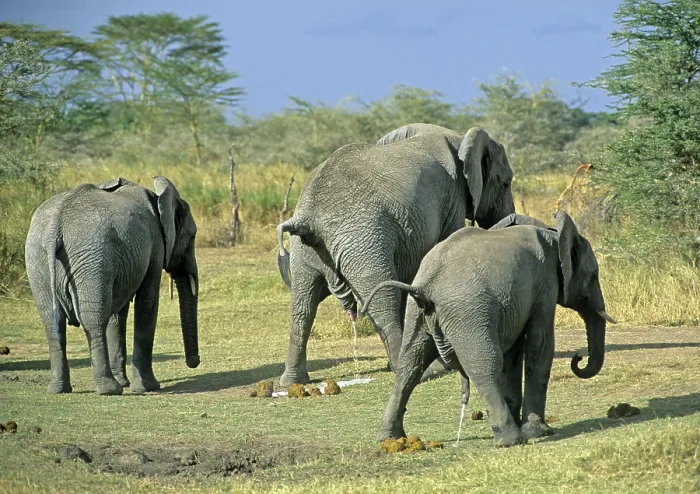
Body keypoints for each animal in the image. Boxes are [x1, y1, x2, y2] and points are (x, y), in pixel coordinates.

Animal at [25, 176, 200, 395]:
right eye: (192, 236)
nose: (194, 362)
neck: (157, 198)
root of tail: (53, 229)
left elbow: (118, 313)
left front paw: (126, 383)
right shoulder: (156, 246)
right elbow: (147, 302)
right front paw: (147, 387)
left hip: (37, 259)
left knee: (51, 321)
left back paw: (59, 389)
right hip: (91, 259)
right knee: (94, 319)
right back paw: (109, 389)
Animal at [276, 123, 516, 386]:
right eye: (505, 183)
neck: (459, 137)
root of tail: (307, 218)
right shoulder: (453, 197)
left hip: (305, 251)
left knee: (303, 306)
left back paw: (293, 382)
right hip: (362, 241)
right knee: (382, 300)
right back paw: (421, 372)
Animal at [362, 211, 616, 447]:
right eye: (594, 276)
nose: (578, 358)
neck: (552, 233)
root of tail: (425, 285)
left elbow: (514, 353)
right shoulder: (545, 284)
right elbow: (540, 344)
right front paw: (540, 432)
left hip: (418, 314)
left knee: (410, 366)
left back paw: (389, 439)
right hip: (467, 313)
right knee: (484, 364)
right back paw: (511, 440)